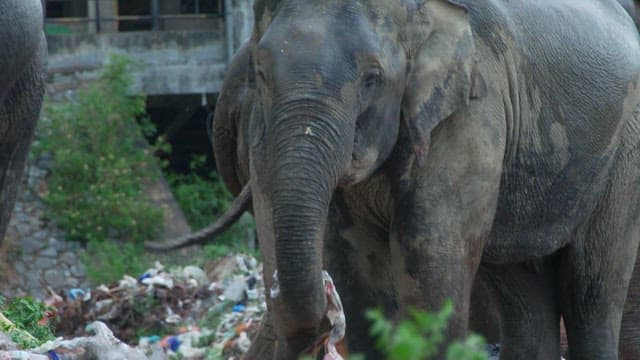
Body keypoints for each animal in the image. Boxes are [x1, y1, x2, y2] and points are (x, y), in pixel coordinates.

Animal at [149, 0, 640, 360]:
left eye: (373, 77)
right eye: (262, 74)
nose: (325, 323)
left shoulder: (470, 110)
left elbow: (429, 268)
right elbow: (356, 272)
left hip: (625, 150)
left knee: (591, 292)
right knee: (521, 289)